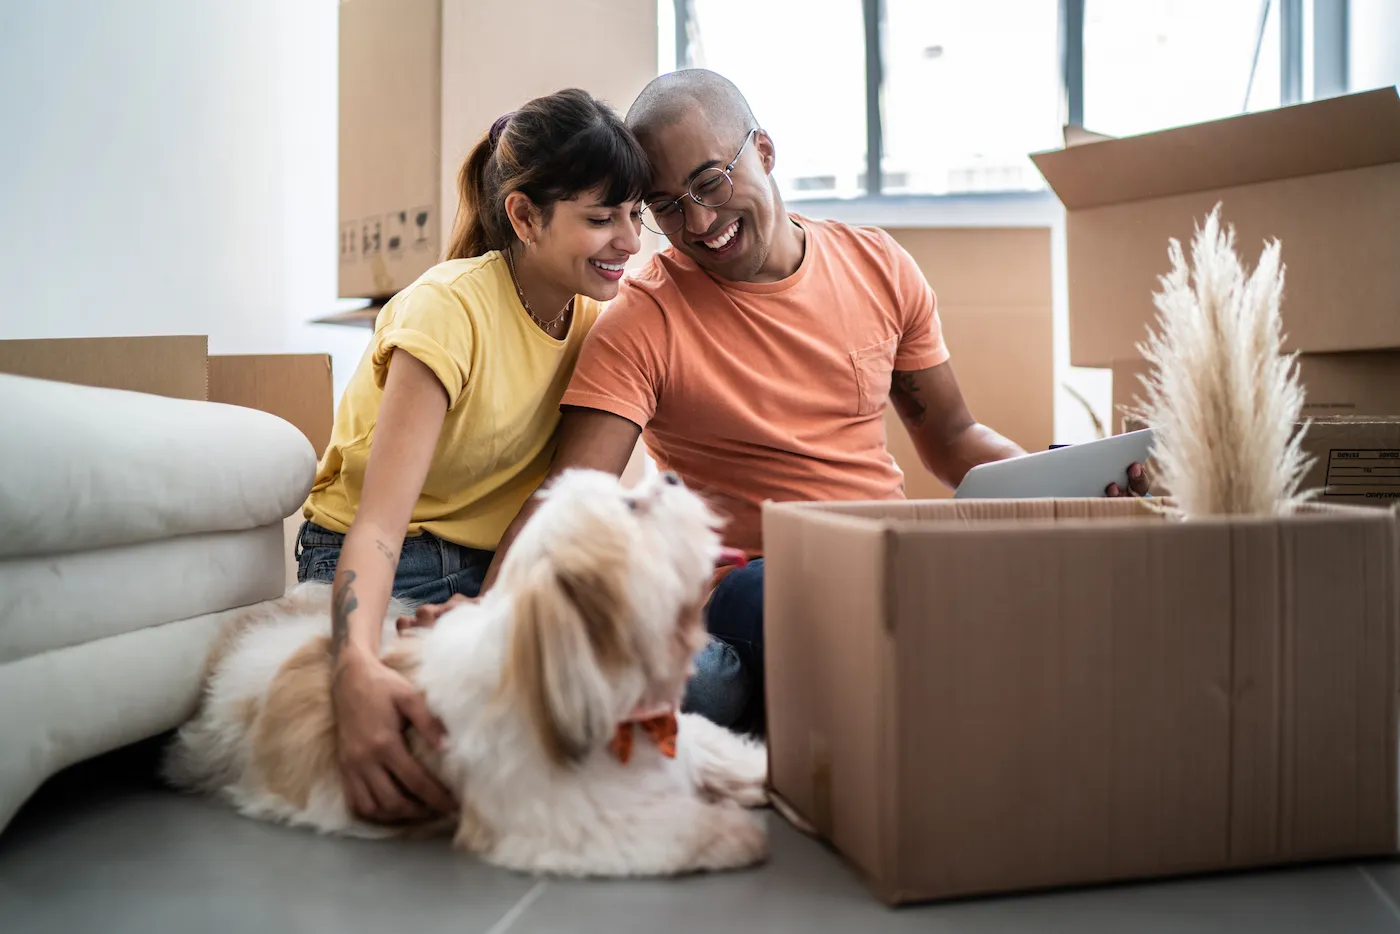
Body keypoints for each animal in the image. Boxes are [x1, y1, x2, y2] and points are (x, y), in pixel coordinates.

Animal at [170, 470, 778, 879]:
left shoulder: (681, 733)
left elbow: (717, 746)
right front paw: (734, 830)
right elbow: (670, 829)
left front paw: (756, 776)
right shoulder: (565, 820)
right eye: (632, 505)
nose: (671, 476)